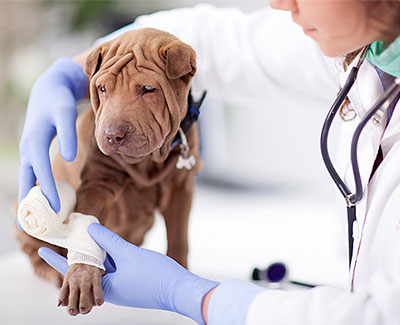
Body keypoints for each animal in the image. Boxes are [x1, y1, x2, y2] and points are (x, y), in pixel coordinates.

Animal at [15, 27, 202, 314]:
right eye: (102, 88)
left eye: (149, 89)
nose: (112, 135)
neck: (148, 162)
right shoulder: (97, 183)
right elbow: (88, 223)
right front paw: (81, 276)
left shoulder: (181, 187)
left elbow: (179, 235)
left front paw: (180, 274)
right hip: (28, 224)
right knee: (37, 255)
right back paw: (55, 272)